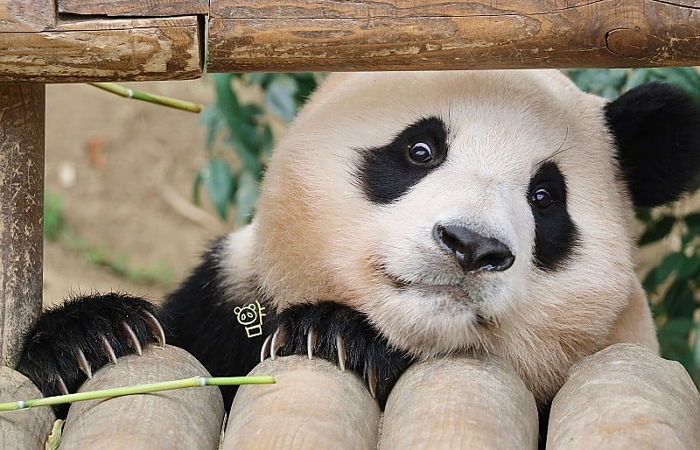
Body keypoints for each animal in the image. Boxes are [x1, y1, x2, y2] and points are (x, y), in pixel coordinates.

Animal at [16, 70, 700, 418]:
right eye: (420, 150)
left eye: (544, 196)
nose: (471, 245)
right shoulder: (225, 299)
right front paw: (91, 336)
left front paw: (332, 334)